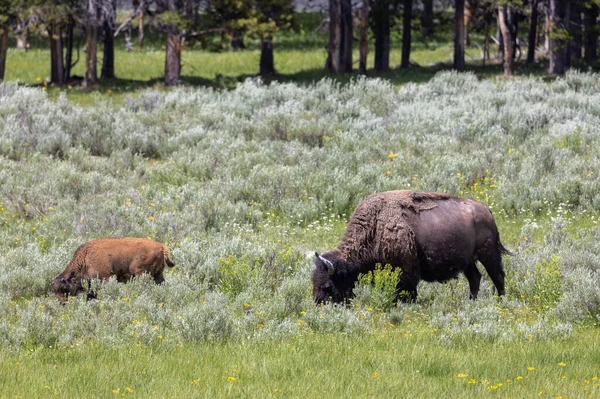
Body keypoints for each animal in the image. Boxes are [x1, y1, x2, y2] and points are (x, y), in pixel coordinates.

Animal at [312, 191, 512, 304]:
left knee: (498, 276)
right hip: (468, 262)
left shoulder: (407, 271)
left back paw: (501, 302)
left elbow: (407, 290)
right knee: (475, 278)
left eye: (327, 286)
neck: (375, 226)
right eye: (313, 282)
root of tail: (486, 210)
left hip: (489, 254)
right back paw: (471, 302)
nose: (318, 305)